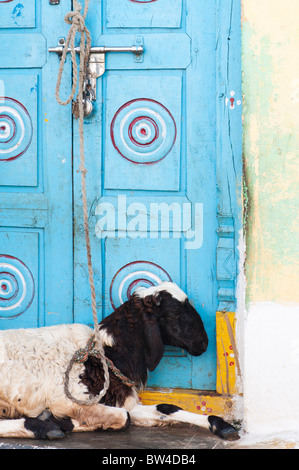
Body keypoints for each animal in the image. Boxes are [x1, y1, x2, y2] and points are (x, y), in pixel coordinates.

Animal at [0, 282, 240, 440]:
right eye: (173, 314)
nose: (204, 343)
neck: (108, 354)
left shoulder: (123, 401)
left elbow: (166, 408)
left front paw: (222, 426)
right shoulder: (68, 400)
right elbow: (123, 419)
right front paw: (62, 422)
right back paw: (45, 428)